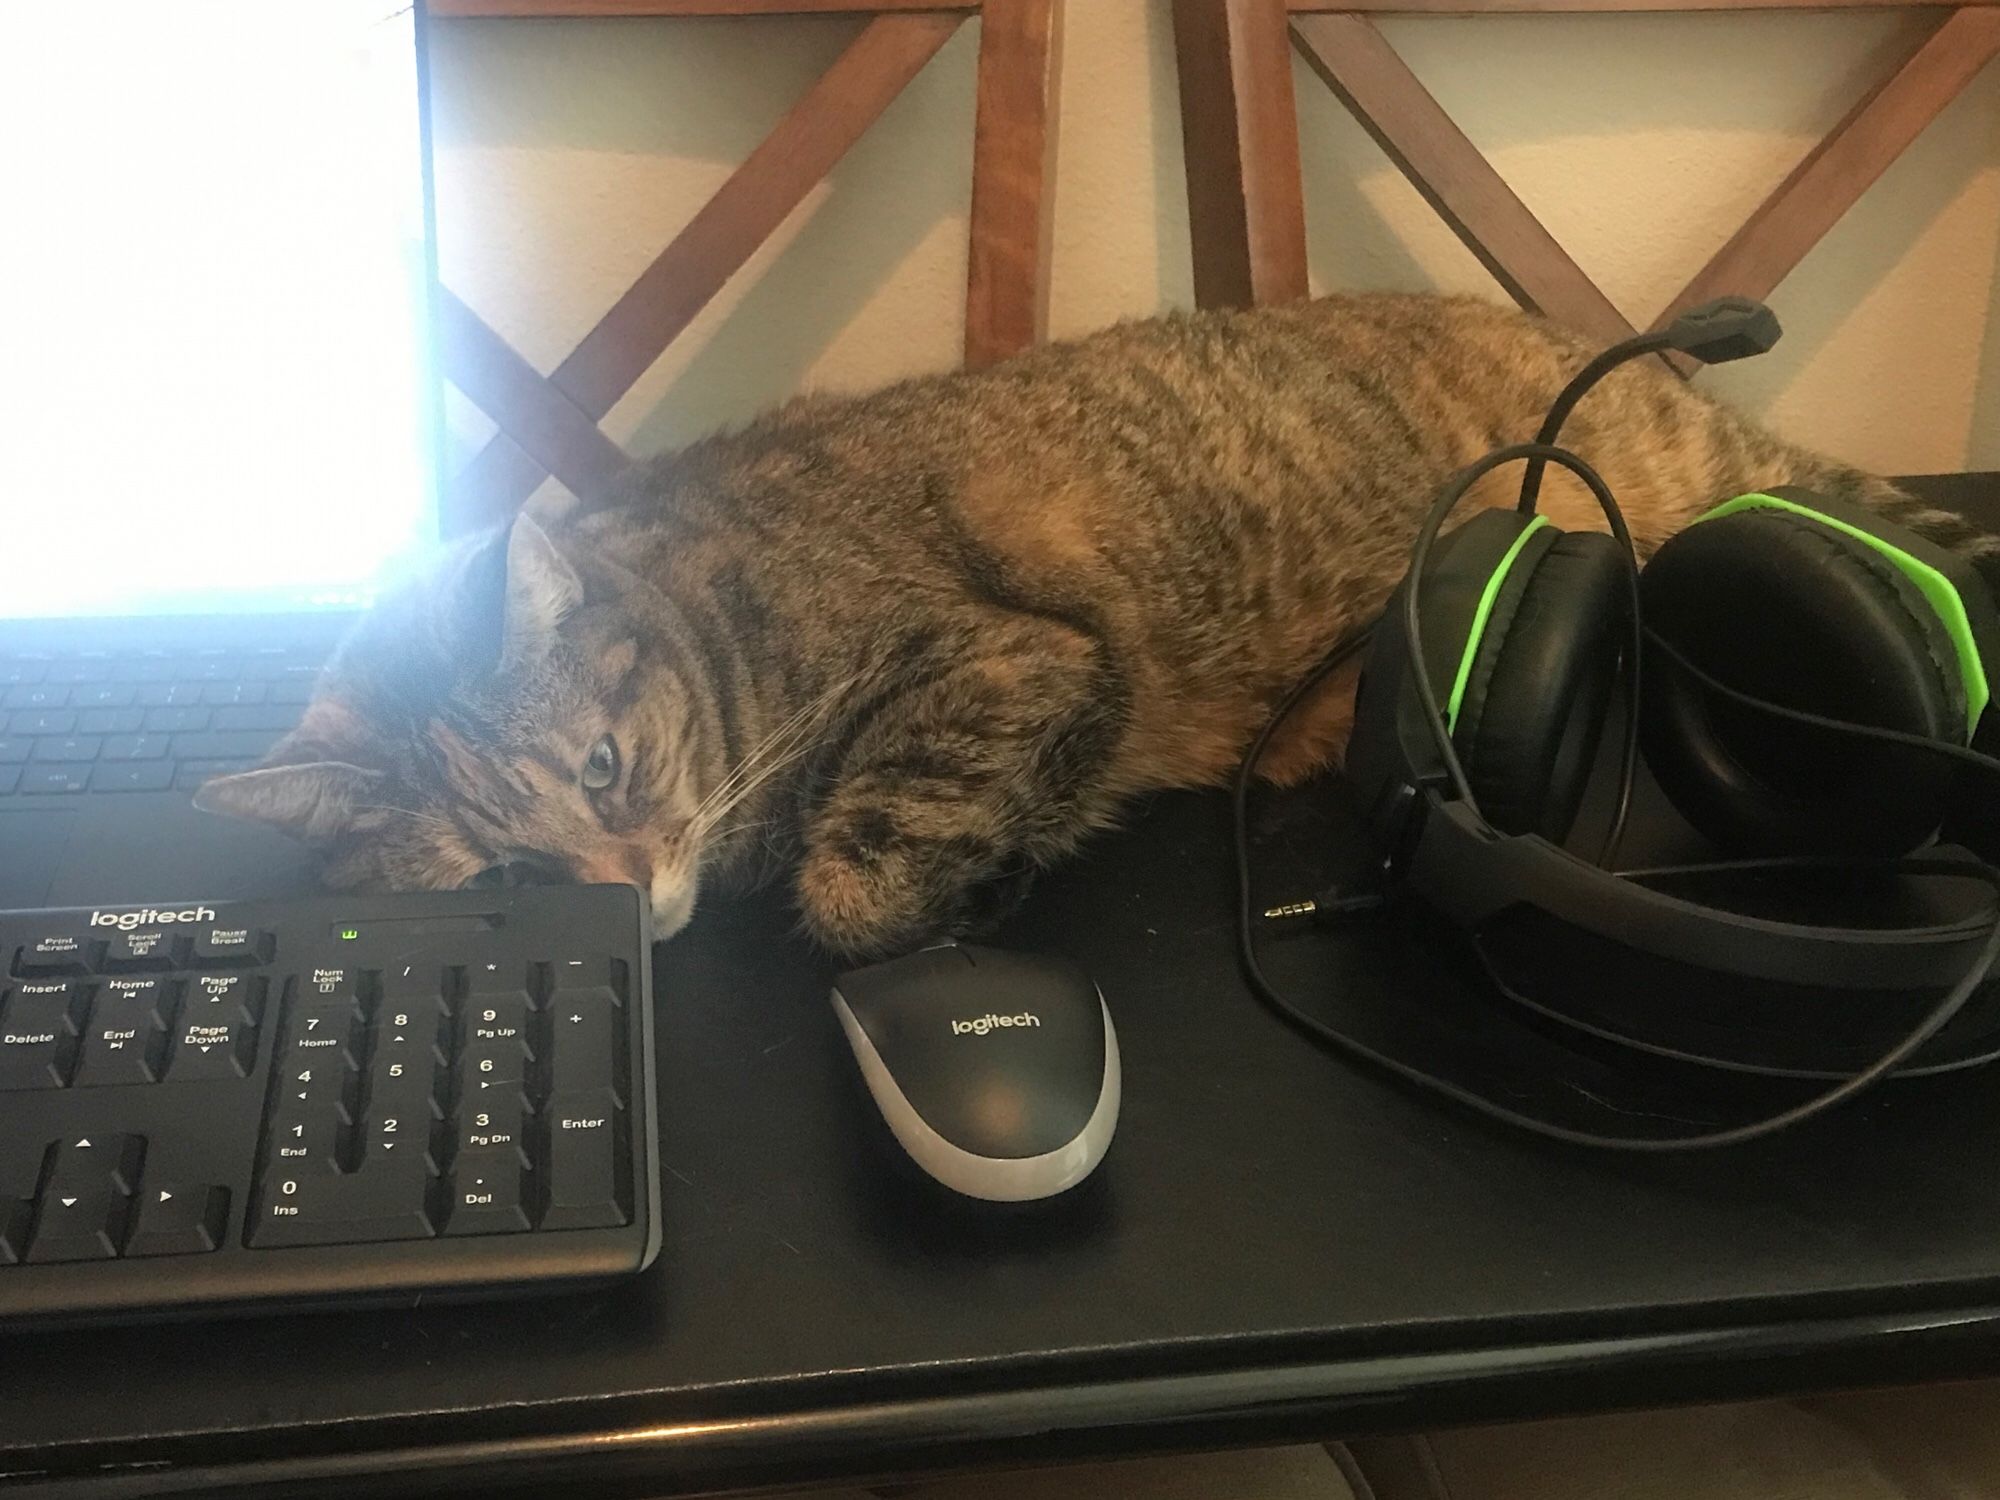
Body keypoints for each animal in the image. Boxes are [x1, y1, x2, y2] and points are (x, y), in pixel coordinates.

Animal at [191, 290, 2000, 964]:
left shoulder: (1016, 654)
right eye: (496, 877)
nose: (625, 892)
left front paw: (962, 874)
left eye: (607, 765)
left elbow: (857, 881)